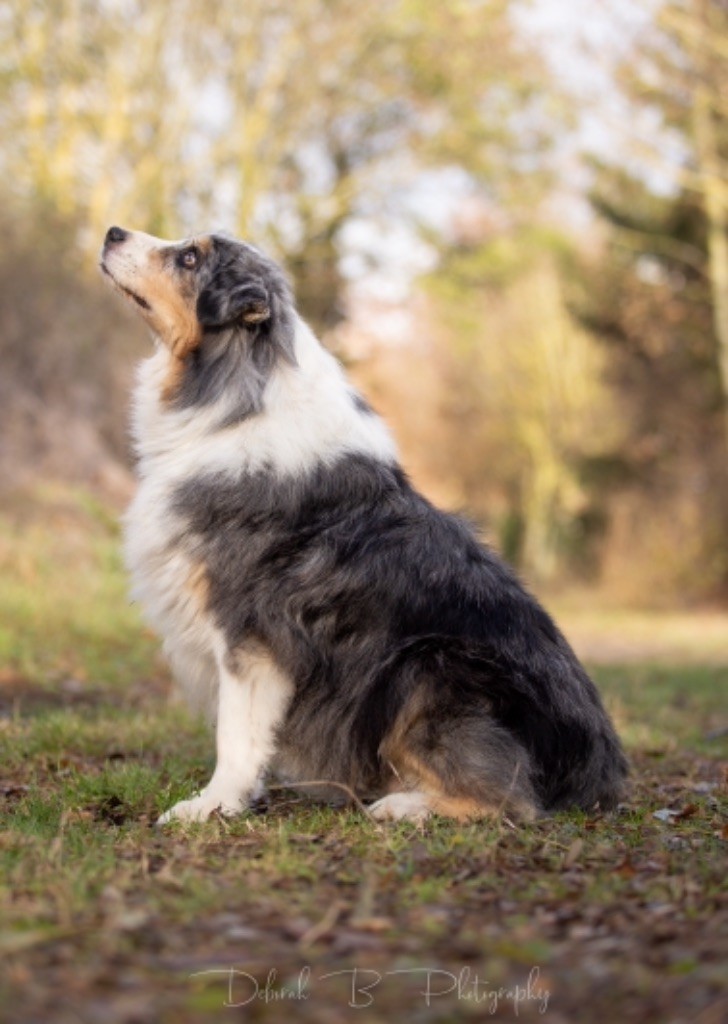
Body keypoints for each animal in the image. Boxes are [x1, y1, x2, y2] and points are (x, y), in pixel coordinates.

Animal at [99, 226, 630, 823]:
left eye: (189, 257)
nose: (113, 232)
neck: (233, 395)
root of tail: (600, 775)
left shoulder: (250, 628)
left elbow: (236, 733)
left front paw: (211, 805)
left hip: (426, 664)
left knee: (511, 799)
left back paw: (401, 805)